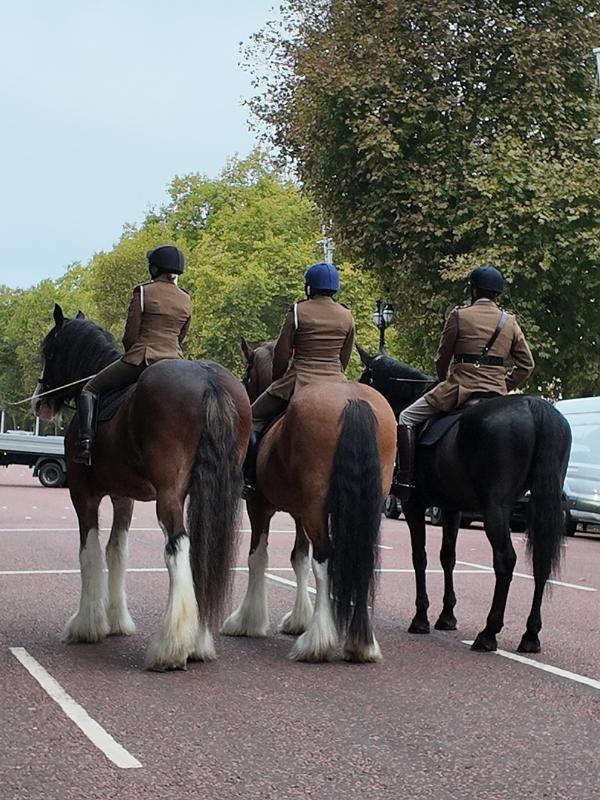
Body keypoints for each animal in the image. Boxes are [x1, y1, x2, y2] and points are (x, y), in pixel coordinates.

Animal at [33, 304, 251, 670]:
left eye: (48, 350)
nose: (40, 403)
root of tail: (208, 379)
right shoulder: (124, 497)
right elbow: (117, 550)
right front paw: (116, 621)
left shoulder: (82, 494)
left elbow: (90, 552)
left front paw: (87, 624)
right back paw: (197, 641)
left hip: (169, 495)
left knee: (178, 548)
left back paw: (171, 646)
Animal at [221, 337, 397, 662]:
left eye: (248, 374)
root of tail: (353, 401)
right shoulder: (300, 512)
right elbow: (298, 557)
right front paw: (298, 619)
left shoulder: (259, 506)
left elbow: (258, 557)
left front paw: (247, 620)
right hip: (363, 508)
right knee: (358, 558)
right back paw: (361, 643)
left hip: (315, 509)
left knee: (325, 560)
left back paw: (317, 641)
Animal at [357, 346, 572, 654]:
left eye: (365, 377)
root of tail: (535, 406)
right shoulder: (451, 508)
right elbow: (448, 556)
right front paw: (447, 616)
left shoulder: (414, 505)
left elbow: (419, 557)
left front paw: (421, 617)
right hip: (542, 503)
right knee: (541, 561)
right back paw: (530, 635)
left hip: (496, 508)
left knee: (505, 560)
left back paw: (488, 632)